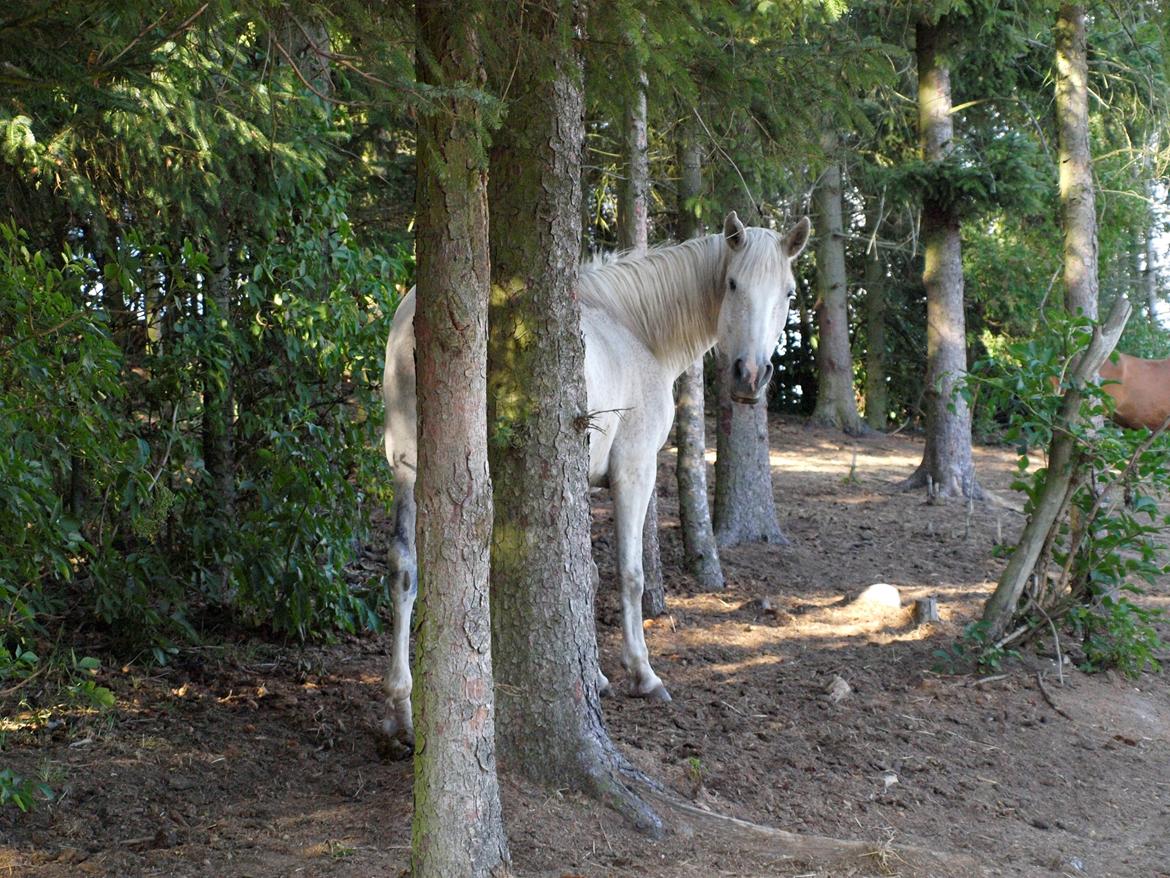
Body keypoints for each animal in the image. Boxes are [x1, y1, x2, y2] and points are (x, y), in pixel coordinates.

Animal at [379, 209, 809, 744]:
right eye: (733, 284)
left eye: (787, 293)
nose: (749, 376)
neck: (638, 329)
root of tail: (417, 330)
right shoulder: (634, 473)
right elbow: (629, 574)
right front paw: (641, 674)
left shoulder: (582, 481)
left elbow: (587, 573)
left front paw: (598, 675)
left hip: (406, 468)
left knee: (403, 566)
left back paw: (400, 709)